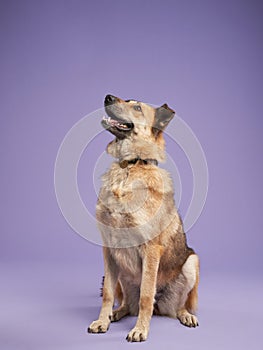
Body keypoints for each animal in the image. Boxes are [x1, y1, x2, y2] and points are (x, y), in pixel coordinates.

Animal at [88, 93, 200, 342]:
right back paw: (115, 313)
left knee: (177, 305)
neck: (129, 166)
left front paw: (140, 329)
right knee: (127, 304)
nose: (107, 97)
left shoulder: (150, 249)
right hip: (122, 275)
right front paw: (102, 321)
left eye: (137, 107)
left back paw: (186, 315)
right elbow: (107, 294)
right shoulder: (109, 249)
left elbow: (146, 296)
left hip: (192, 262)